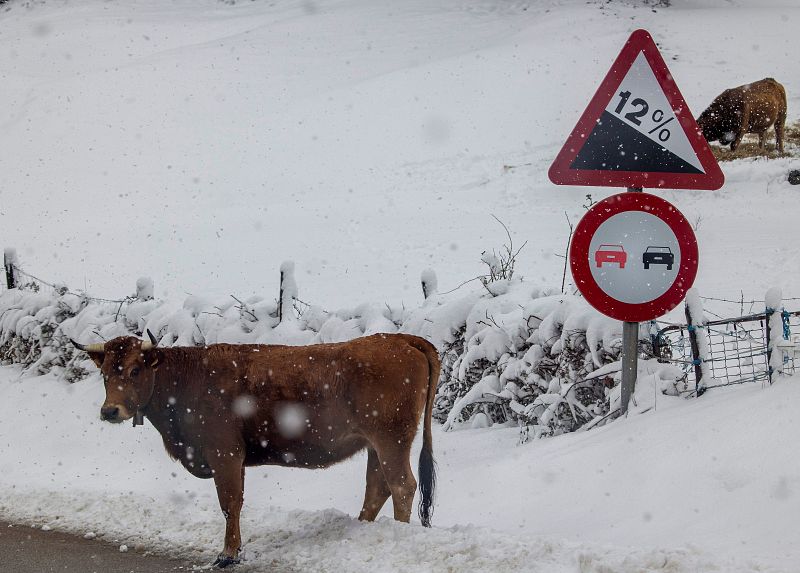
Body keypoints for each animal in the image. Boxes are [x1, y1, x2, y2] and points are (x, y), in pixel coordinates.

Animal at [72, 330, 440, 568]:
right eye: (105, 374)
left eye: (135, 369)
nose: (110, 411)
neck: (187, 379)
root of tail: (399, 338)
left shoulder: (225, 454)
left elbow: (229, 503)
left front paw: (228, 554)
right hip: (374, 444)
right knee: (377, 487)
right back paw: (361, 528)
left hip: (391, 440)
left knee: (402, 486)